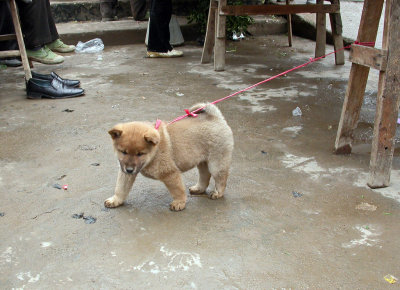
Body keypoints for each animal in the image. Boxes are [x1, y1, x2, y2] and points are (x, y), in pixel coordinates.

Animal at [104, 103, 234, 211]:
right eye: (123, 152)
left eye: (140, 154)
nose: (130, 170)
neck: (154, 152)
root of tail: (216, 118)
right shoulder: (124, 171)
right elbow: (121, 188)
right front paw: (115, 200)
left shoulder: (170, 173)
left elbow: (177, 190)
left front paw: (179, 203)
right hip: (202, 162)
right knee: (205, 176)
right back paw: (198, 188)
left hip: (216, 163)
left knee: (221, 179)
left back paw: (217, 193)